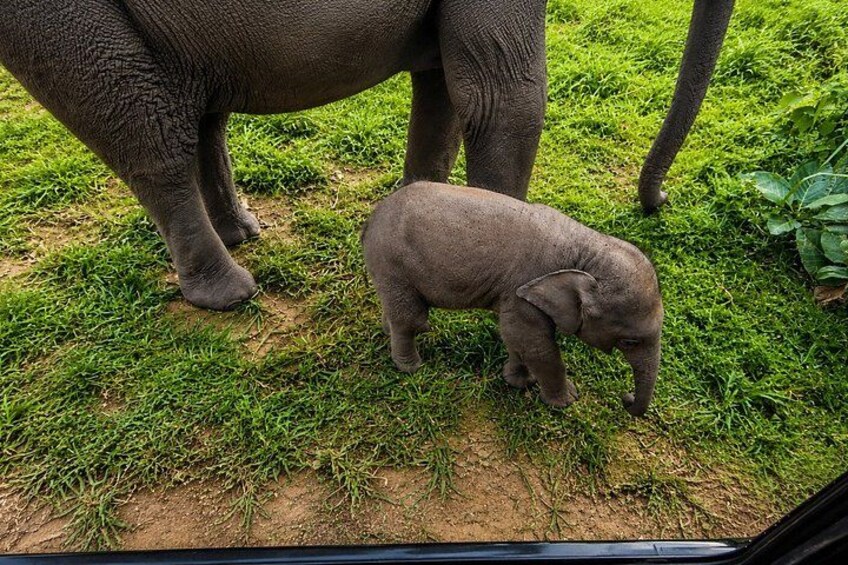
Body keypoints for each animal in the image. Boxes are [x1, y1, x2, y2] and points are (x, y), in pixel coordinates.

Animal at [0, 0, 732, 310]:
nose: (660, 201)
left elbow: (443, 88)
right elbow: (503, 95)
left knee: (200, 115)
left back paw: (243, 234)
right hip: (65, 23)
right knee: (147, 136)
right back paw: (231, 295)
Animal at [362, 181, 664, 417]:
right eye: (629, 342)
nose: (625, 399)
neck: (585, 248)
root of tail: (372, 218)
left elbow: (516, 339)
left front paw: (519, 382)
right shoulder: (522, 290)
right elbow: (534, 342)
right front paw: (567, 401)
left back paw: (387, 332)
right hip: (392, 262)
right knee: (411, 319)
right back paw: (411, 367)